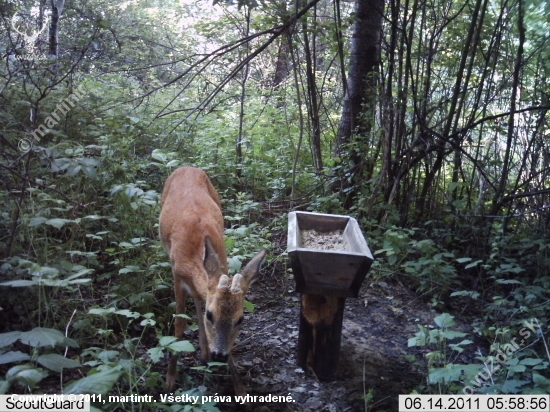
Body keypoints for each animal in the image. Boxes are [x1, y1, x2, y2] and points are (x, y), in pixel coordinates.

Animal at [160, 167, 268, 392]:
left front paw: (241, 391)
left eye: (240, 319)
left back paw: (204, 350)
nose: (219, 354)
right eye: (210, 315)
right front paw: (170, 379)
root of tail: (187, 167)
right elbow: (179, 326)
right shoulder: (176, 274)